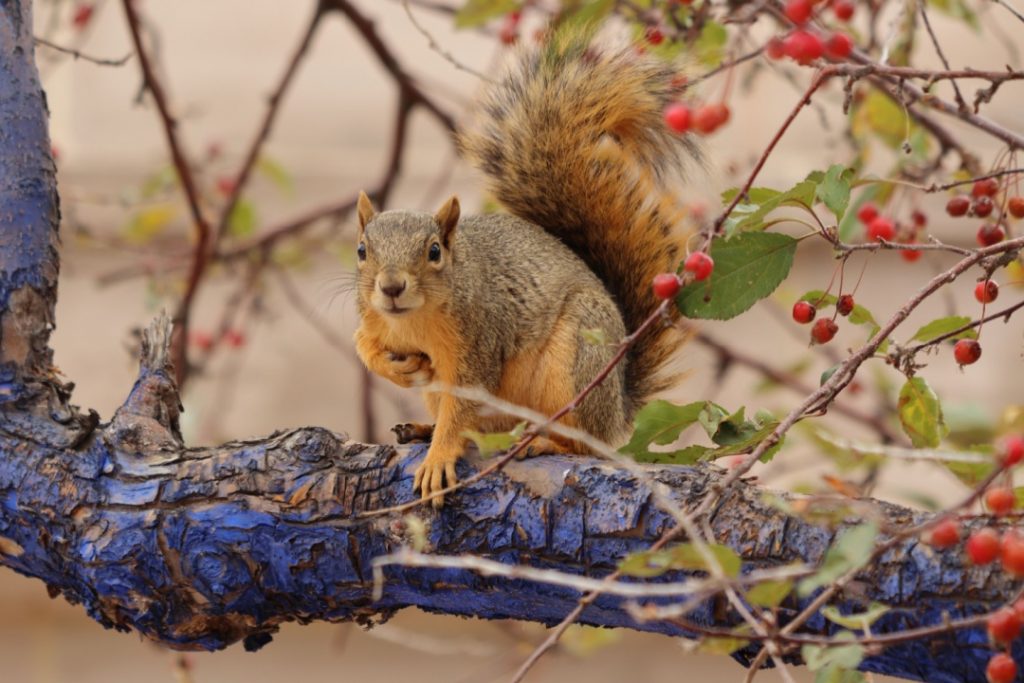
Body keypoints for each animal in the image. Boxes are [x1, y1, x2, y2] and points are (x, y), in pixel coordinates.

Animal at [353, 36, 697, 507]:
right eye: (361, 250)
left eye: (434, 251)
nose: (390, 287)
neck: (412, 322)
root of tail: (617, 409)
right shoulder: (376, 322)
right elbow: (364, 344)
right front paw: (393, 369)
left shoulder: (479, 344)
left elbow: (463, 404)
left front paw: (439, 457)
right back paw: (423, 428)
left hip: (575, 365)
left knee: (583, 444)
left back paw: (542, 441)